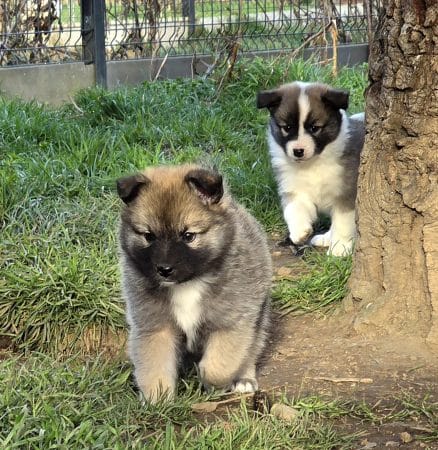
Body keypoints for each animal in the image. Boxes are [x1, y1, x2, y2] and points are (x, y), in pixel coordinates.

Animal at [118, 163, 272, 402]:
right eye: (149, 236)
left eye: (189, 236)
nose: (164, 270)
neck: (188, 284)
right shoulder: (154, 327)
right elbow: (154, 366)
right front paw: (157, 400)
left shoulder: (231, 323)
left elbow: (218, 367)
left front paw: (214, 384)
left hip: (259, 315)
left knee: (252, 347)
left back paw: (243, 378)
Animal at [258, 81, 364, 256]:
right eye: (287, 127)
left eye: (315, 128)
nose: (298, 151)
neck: (313, 163)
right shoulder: (294, 189)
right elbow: (294, 208)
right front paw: (299, 232)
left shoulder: (347, 194)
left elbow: (343, 224)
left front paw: (339, 249)